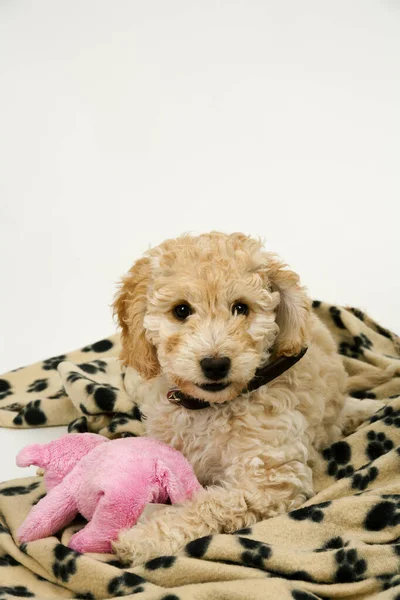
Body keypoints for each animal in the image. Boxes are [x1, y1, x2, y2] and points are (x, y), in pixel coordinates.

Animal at [111, 232, 376, 564]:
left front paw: (142, 538)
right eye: (181, 310)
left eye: (241, 308)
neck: (210, 408)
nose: (215, 364)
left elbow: (207, 505)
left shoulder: (269, 480)